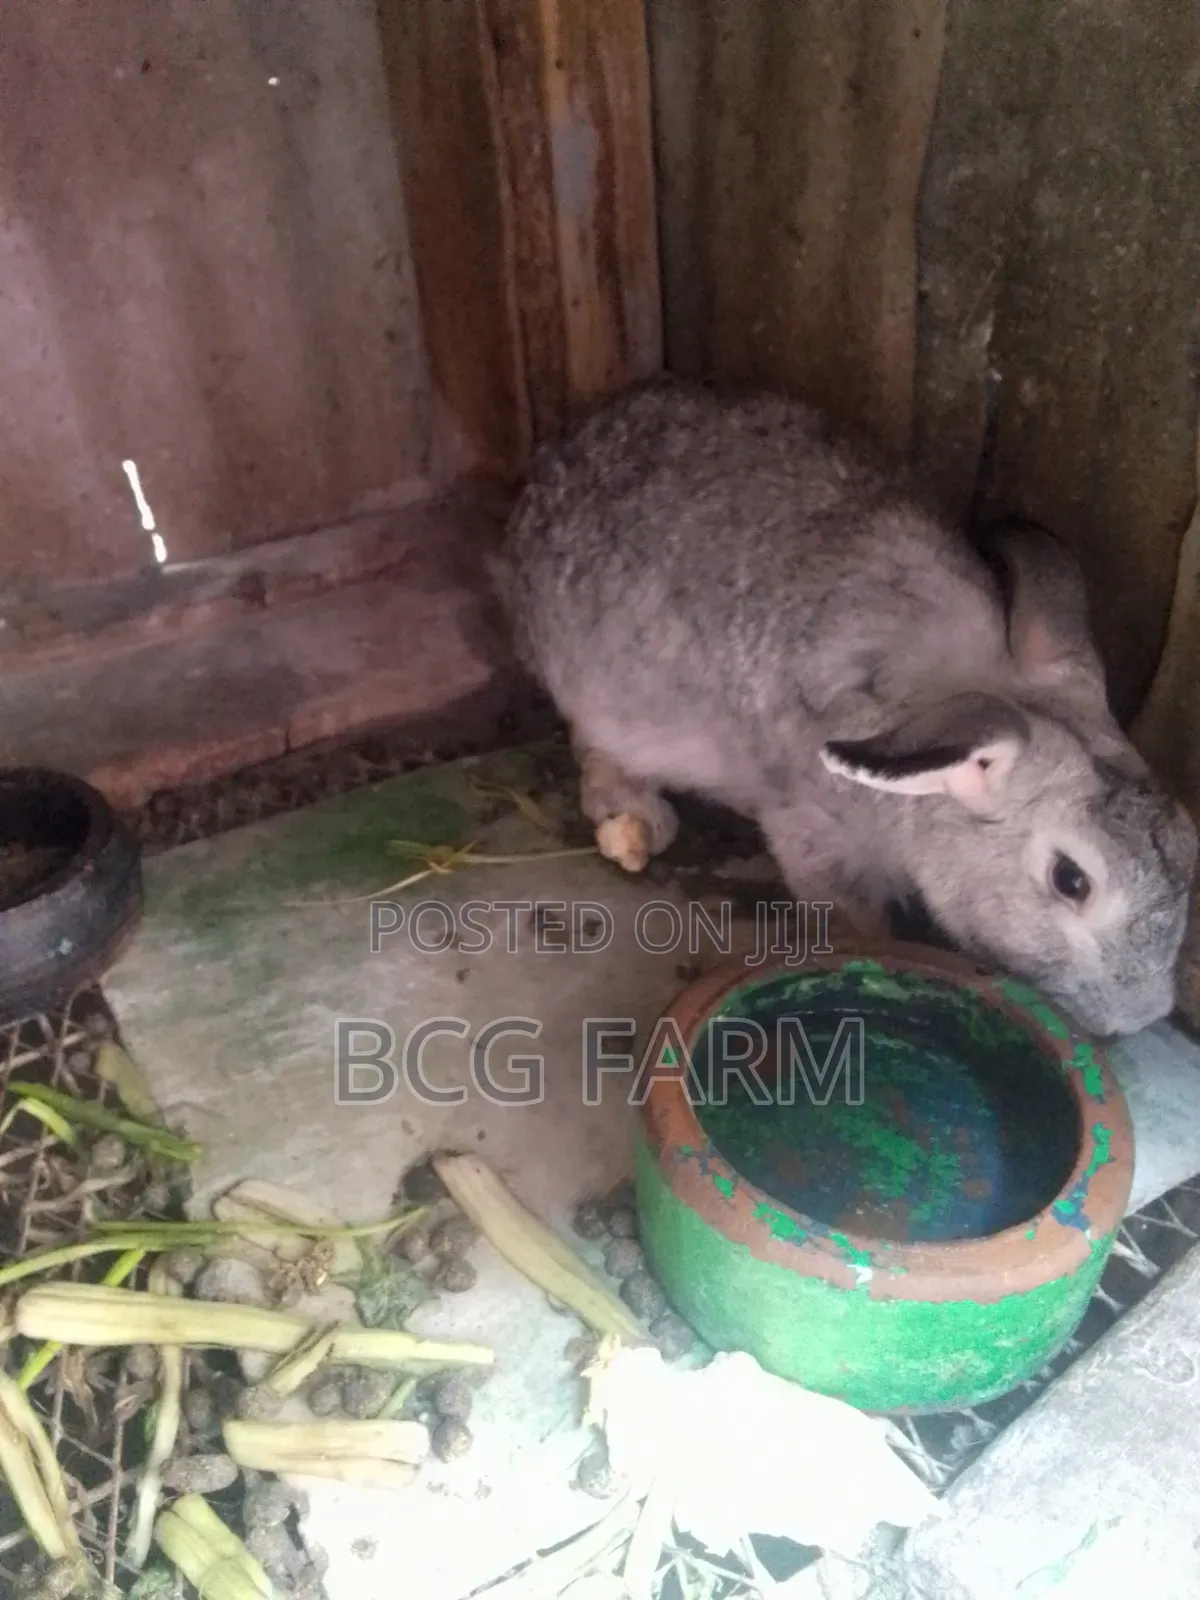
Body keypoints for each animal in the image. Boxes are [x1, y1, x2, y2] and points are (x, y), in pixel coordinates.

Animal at [495, 374, 1198, 1038]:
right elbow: (854, 922)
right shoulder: (814, 830)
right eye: (1072, 880)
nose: (1139, 1018)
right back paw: (638, 817)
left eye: (1190, 845)